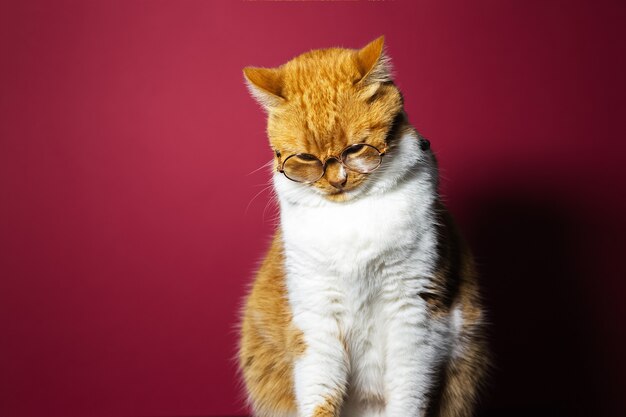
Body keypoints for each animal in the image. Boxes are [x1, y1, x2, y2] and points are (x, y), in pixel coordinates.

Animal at [236, 36, 486, 416]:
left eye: (355, 149)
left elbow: (409, 389)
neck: (351, 215)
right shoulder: (316, 313)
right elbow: (319, 391)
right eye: (306, 158)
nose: (337, 181)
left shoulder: (412, 308)